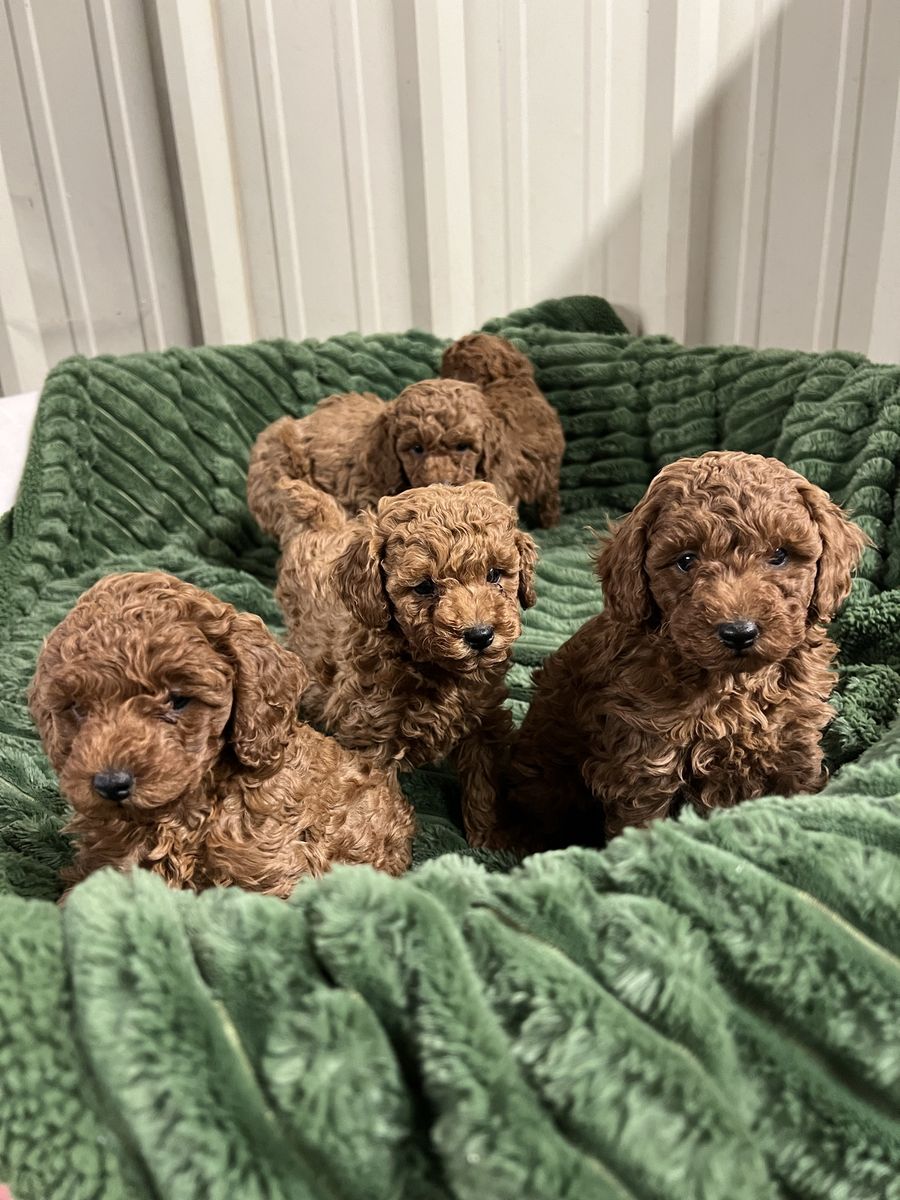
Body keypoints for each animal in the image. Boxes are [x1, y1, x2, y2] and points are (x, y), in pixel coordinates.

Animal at [272, 480, 537, 845]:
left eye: (495, 574)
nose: (480, 635)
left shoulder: (486, 720)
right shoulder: (372, 738)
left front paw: (491, 836)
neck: (437, 668)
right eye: (424, 587)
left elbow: (485, 783)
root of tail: (322, 525)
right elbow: (374, 800)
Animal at [507, 451, 868, 849]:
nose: (739, 632)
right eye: (686, 560)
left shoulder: (794, 741)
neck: (734, 685)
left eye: (779, 555)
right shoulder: (647, 762)